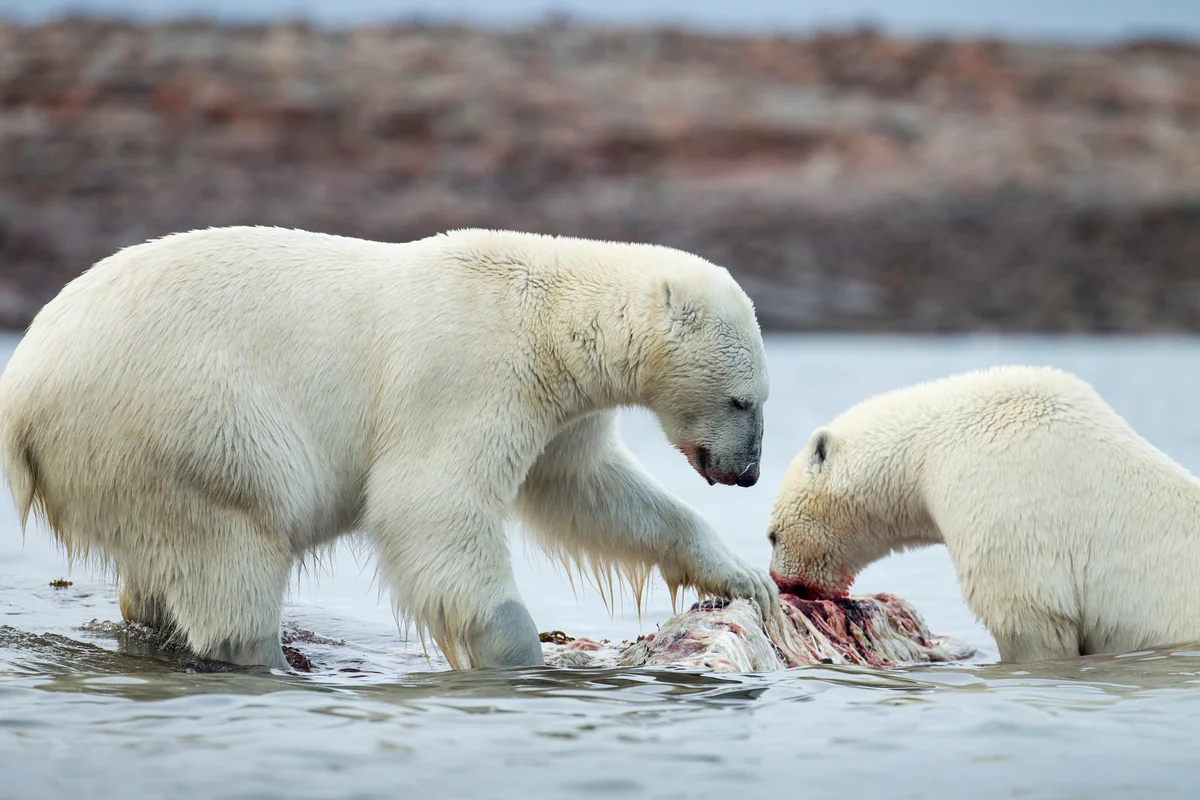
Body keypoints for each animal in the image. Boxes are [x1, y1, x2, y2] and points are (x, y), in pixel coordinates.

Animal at [0, 226, 778, 671]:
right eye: (744, 400)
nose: (747, 473)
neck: (547, 312)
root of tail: (23, 390)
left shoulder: (560, 412)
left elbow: (589, 491)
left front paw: (745, 577)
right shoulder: (466, 373)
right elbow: (430, 506)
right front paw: (518, 654)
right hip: (184, 423)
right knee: (234, 549)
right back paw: (266, 659)